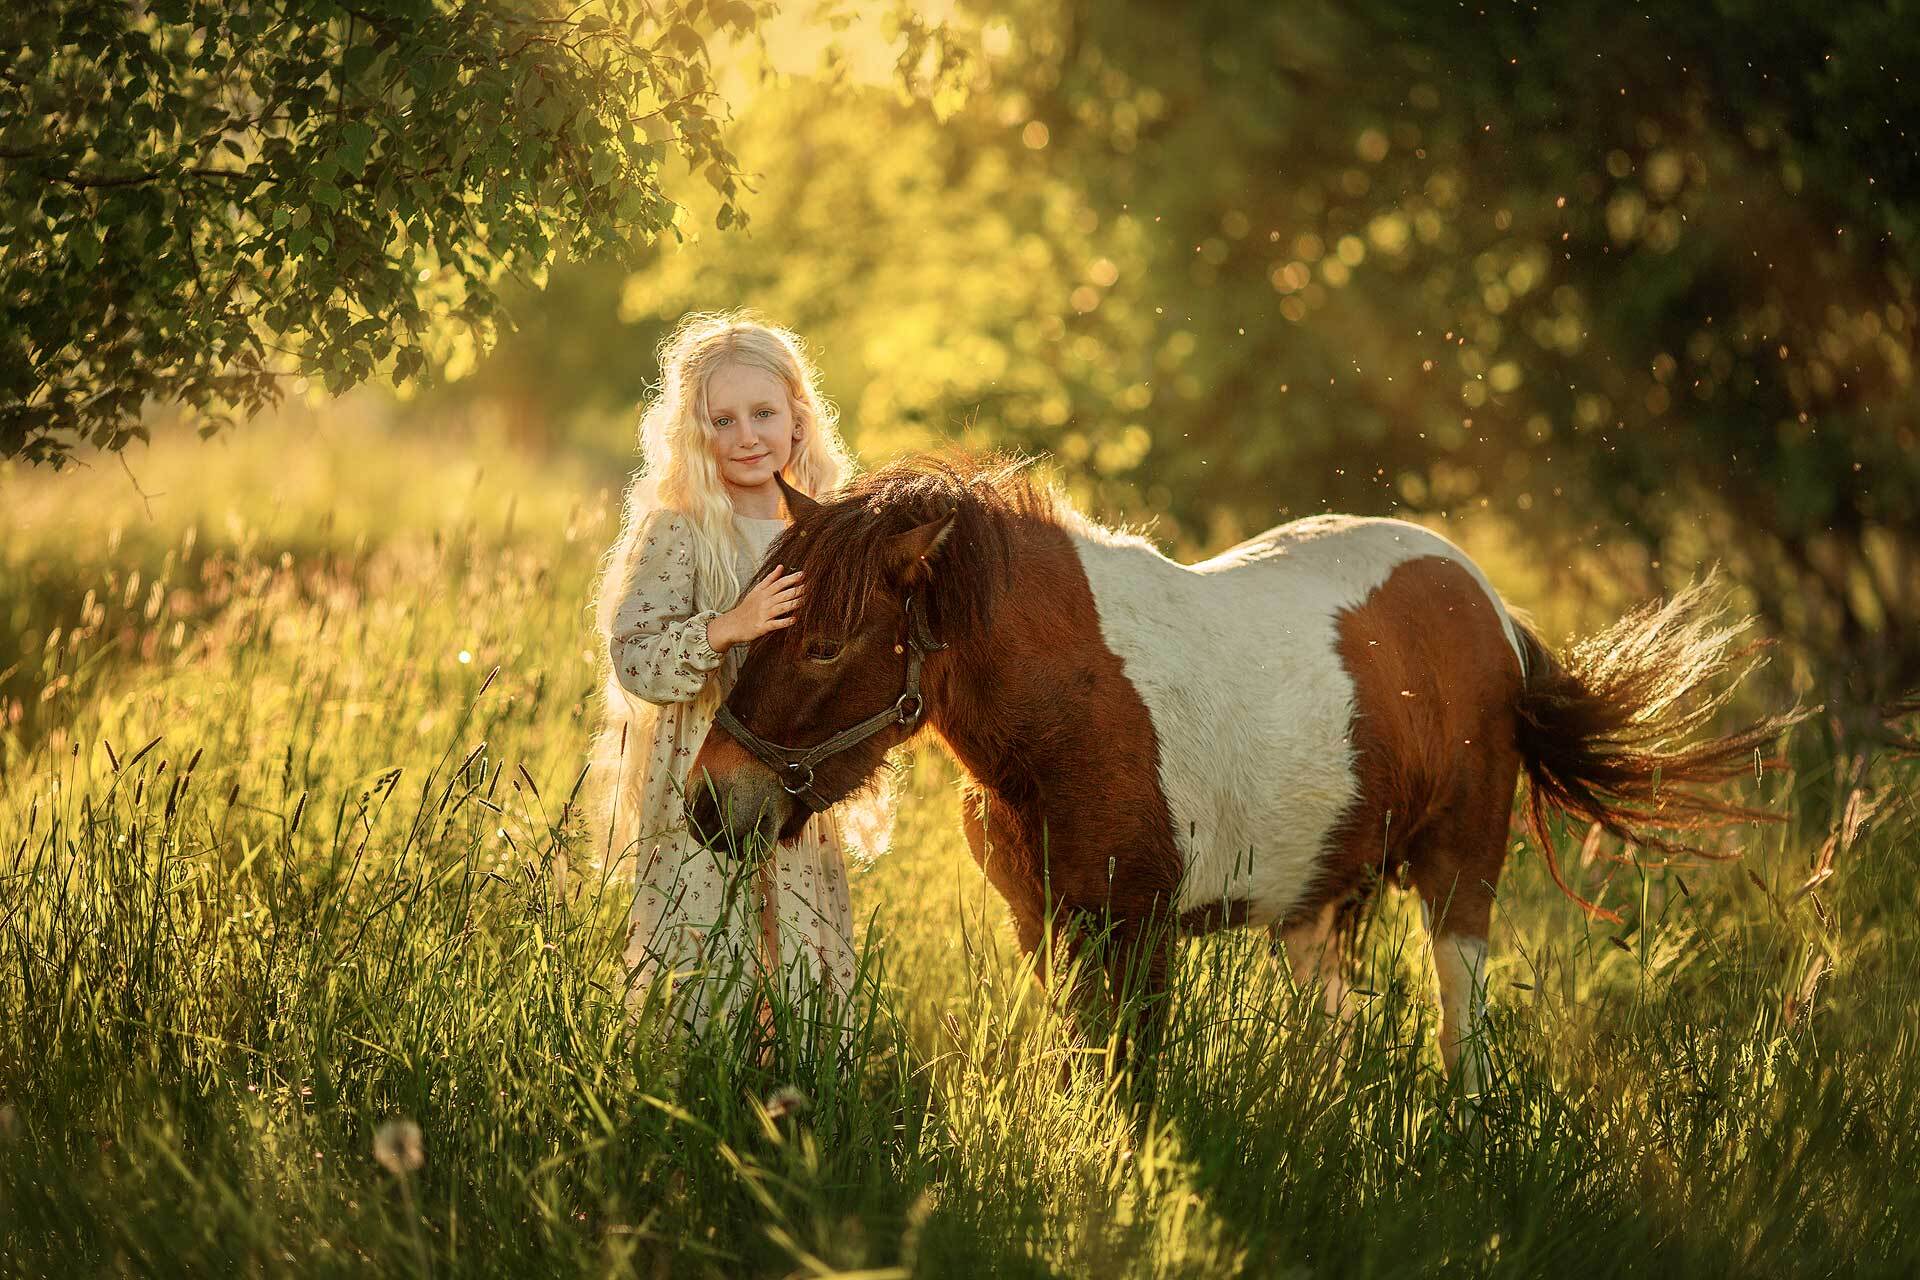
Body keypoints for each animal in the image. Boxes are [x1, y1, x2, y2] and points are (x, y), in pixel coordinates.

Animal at [687, 454, 1781, 1090]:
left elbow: (1125, 1081)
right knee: (1333, 1020)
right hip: (1317, 898)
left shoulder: (1136, 933)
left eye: (824, 646)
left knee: (1458, 1006)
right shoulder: (1045, 926)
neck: (1069, 710)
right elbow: (1076, 1070)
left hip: (1459, 867)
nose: (710, 801)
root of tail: (1485, 602)